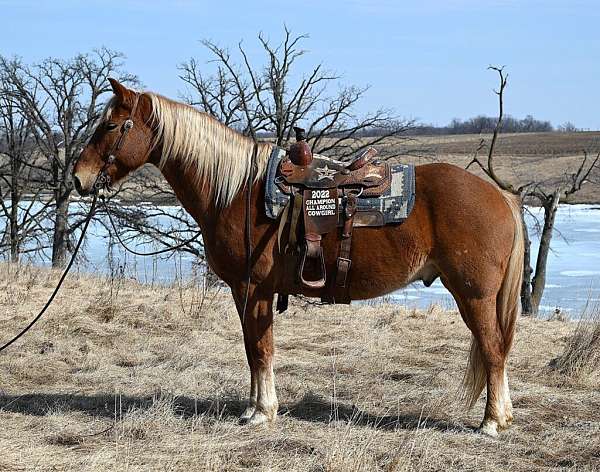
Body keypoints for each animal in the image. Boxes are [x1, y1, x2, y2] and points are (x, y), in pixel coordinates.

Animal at [74, 79, 524, 436]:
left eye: (111, 125)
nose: (79, 179)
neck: (237, 191)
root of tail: (498, 195)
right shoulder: (247, 292)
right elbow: (251, 349)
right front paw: (252, 408)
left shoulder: (252, 289)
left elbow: (261, 349)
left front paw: (262, 413)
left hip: (474, 295)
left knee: (493, 350)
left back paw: (491, 423)